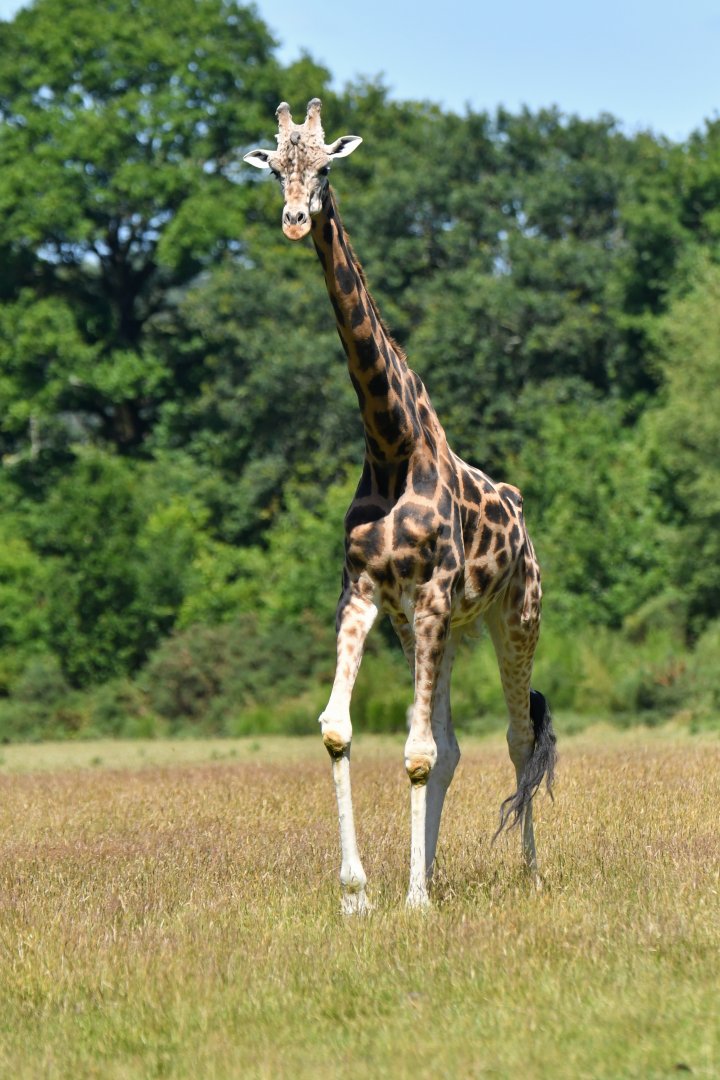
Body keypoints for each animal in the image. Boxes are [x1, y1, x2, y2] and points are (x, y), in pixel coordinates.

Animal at [245, 98, 557, 912]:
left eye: (325, 167)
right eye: (276, 168)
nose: (295, 219)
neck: (390, 445)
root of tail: (521, 513)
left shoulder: (437, 594)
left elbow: (416, 753)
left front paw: (412, 898)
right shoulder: (364, 596)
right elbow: (341, 730)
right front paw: (360, 892)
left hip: (516, 615)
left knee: (518, 739)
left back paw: (528, 872)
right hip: (428, 628)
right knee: (451, 747)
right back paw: (437, 869)